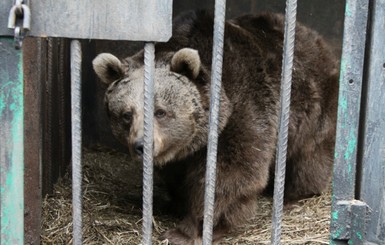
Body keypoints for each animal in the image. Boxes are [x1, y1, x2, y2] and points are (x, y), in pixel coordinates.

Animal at [91, 10, 338, 245]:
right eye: (126, 115)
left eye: (160, 111)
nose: (142, 145)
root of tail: (316, 37)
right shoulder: (179, 153)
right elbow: (178, 175)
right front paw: (177, 204)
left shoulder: (243, 109)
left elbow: (230, 174)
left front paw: (188, 230)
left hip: (311, 102)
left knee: (310, 155)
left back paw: (297, 196)